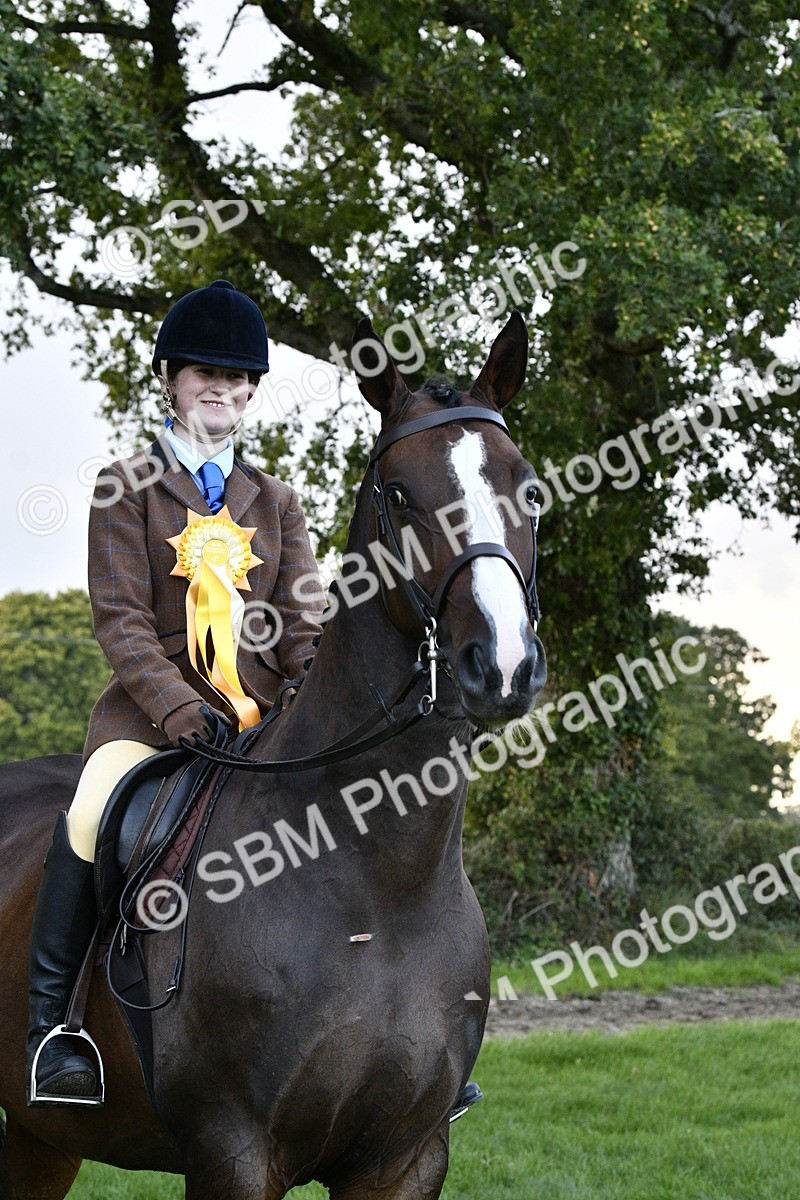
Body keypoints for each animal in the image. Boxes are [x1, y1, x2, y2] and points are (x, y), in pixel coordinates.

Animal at [0, 310, 546, 1200]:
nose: (500, 665)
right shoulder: (234, 1151)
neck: (377, 881)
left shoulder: (407, 1157)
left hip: (42, 1133)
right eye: (401, 495)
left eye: (528, 488)